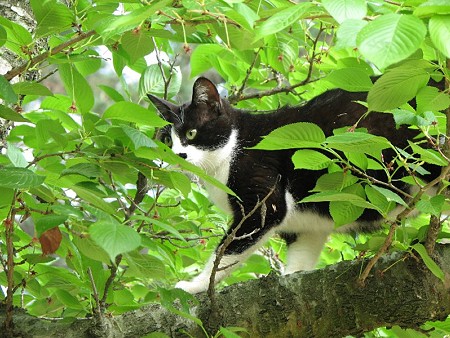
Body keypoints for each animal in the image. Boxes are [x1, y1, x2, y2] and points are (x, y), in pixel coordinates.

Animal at [149, 76, 442, 294]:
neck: (229, 152)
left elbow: (226, 251)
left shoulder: (262, 198)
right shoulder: (306, 226)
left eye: (191, 133)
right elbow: (303, 255)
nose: (177, 154)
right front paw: (292, 278)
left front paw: (194, 286)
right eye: (167, 139)